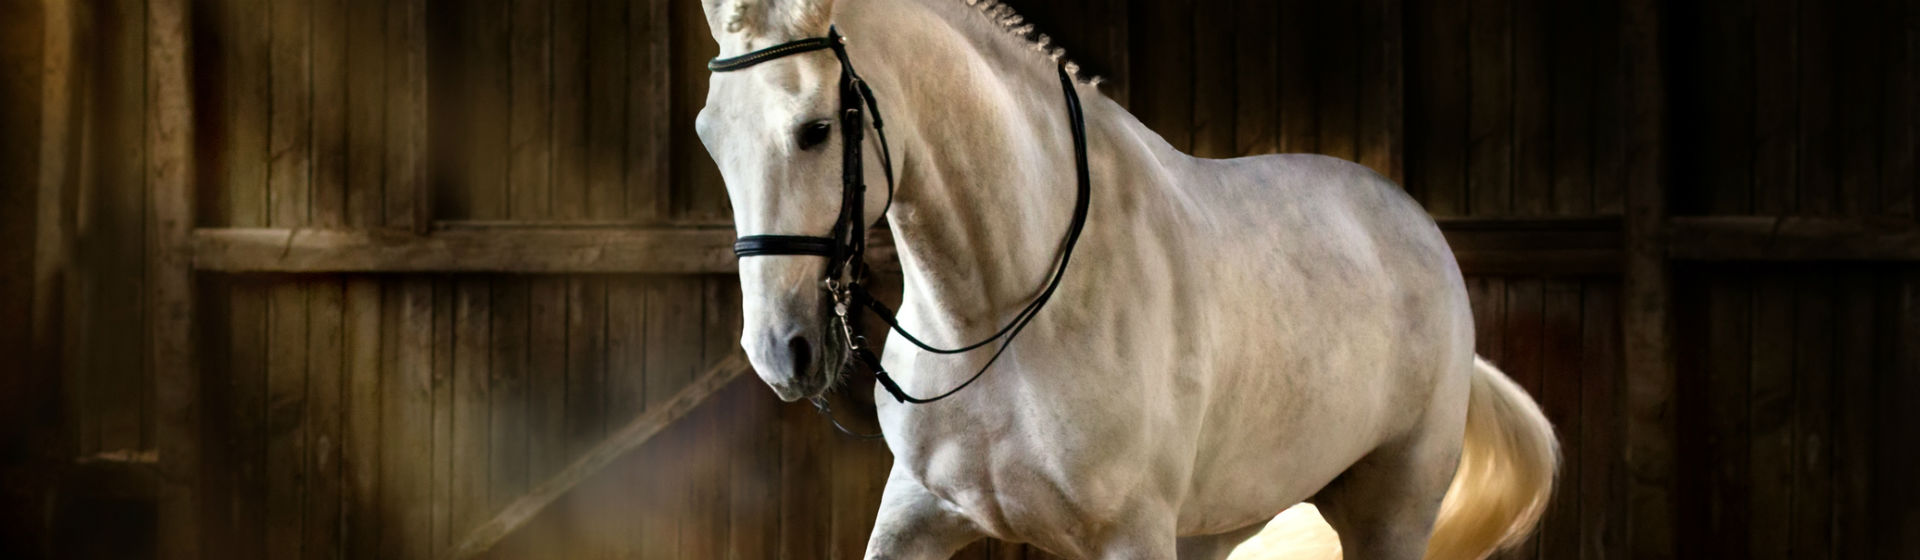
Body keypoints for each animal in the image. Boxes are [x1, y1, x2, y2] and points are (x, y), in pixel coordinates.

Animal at [691, 0, 1558, 558]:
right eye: (708, 135)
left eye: (814, 130)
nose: (779, 352)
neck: (1001, 316)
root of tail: (1419, 228)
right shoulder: (916, 517)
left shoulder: (1132, 537)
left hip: (1392, 515)